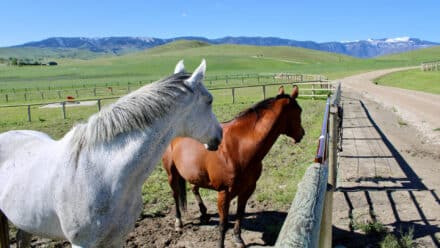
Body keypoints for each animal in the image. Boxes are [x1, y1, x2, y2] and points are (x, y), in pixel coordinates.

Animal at [163, 85, 304, 246]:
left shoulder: (247, 189)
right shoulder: (224, 193)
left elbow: (240, 214)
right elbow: (223, 224)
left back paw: (204, 213)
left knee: (194, 188)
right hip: (171, 173)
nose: (302, 134)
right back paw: (178, 222)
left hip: (194, 172)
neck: (238, 147)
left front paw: (238, 238)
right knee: (175, 194)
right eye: (299, 111)